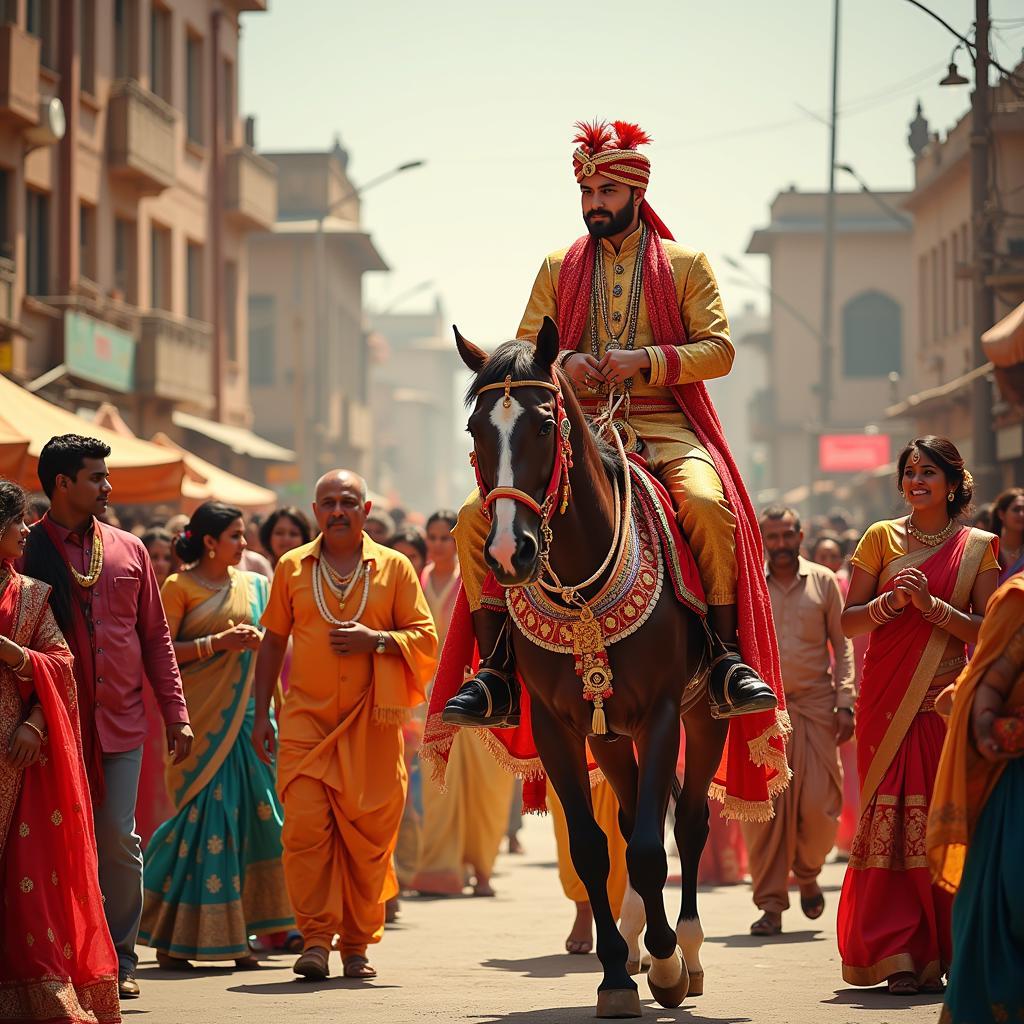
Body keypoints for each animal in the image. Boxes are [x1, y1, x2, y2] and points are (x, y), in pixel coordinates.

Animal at [456, 319, 729, 1015]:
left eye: (544, 425)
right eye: (475, 431)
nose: (510, 553)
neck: (580, 584)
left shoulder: (662, 713)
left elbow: (653, 848)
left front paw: (666, 967)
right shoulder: (558, 726)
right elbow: (592, 848)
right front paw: (615, 976)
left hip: (703, 716)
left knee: (688, 823)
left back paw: (687, 951)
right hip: (608, 734)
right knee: (632, 817)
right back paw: (635, 939)